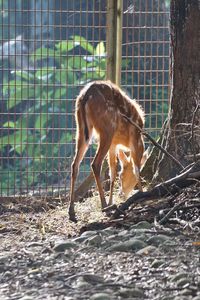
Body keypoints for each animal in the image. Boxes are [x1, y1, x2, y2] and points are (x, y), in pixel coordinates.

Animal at [69, 81, 147, 221]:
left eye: (122, 176)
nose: (122, 194)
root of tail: (86, 95)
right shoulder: (135, 138)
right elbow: (136, 168)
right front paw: (141, 194)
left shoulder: (114, 145)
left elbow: (113, 171)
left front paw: (112, 201)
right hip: (107, 128)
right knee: (95, 164)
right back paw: (104, 205)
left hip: (81, 128)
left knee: (75, 164)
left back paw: (72, 211)